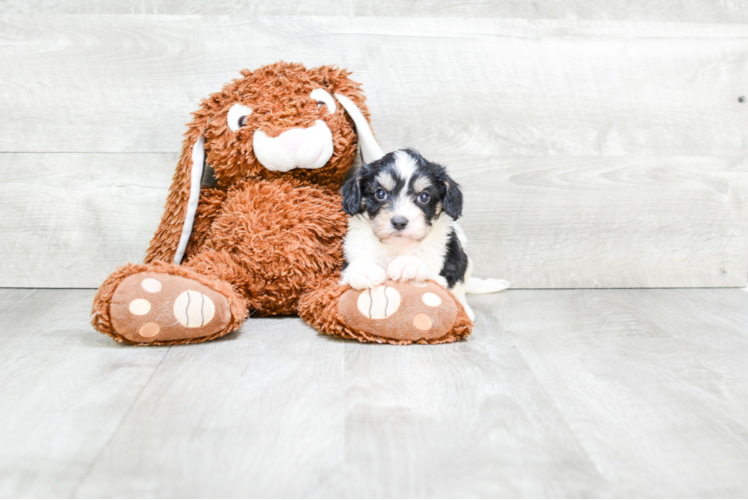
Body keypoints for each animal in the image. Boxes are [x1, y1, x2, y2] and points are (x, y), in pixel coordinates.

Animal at [338, 148, 508, 320]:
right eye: (380, 194)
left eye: (424, 197)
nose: (399, 222)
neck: (397, 247)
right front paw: (363, 270)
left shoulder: (442, 270)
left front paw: (408, 264)